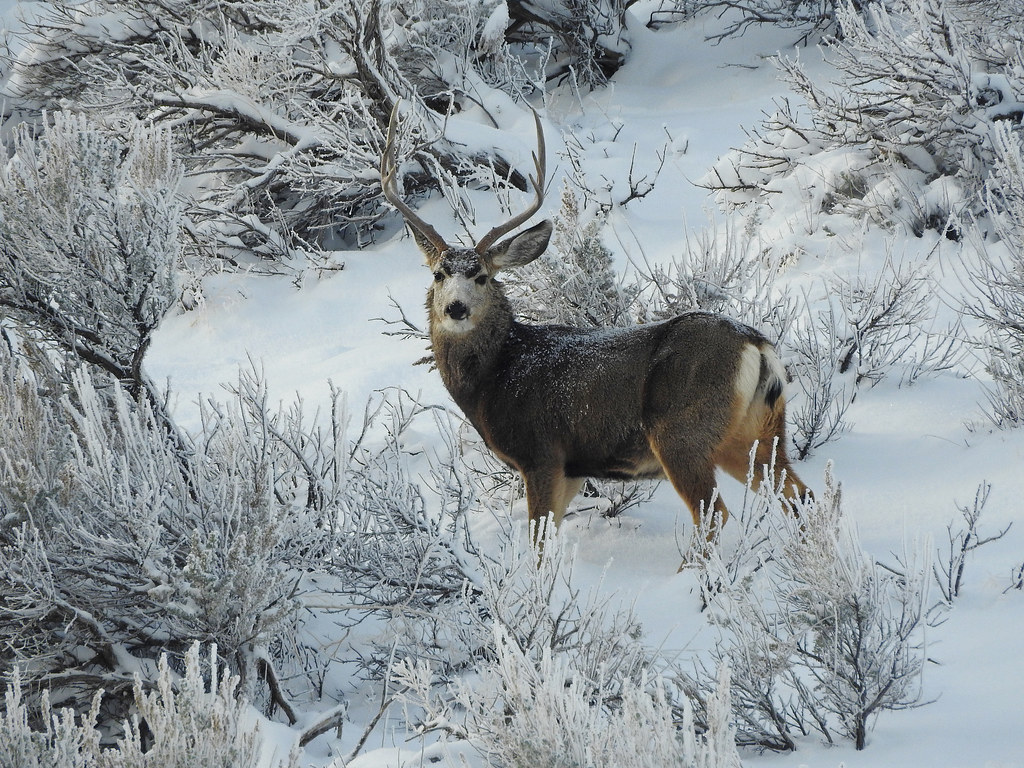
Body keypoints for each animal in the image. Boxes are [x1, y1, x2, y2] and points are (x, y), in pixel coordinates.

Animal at [380, 104, 811, 554]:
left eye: (481, 276)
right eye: (438, 274)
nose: (456, 307)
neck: (496, 375)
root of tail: (756, 345)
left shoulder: (541, 454)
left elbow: (537, 544)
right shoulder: (573, 469)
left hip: (682, 432)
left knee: (713, 515)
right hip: (754, 433)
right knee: (800, 494)